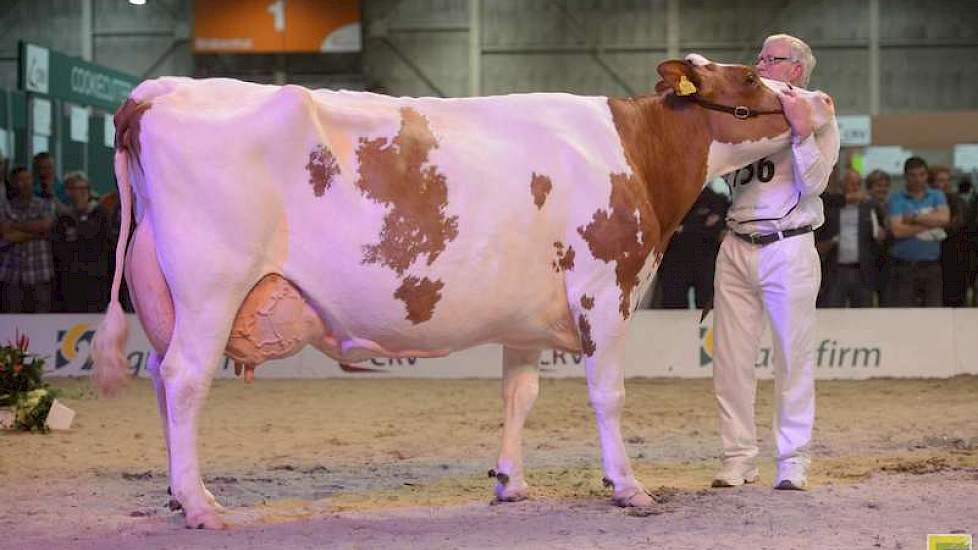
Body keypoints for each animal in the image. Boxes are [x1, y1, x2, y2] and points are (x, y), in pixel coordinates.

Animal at [95, 52, 836, 532]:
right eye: (749, 77)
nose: (823, 102)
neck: (634, 151)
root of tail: (157, 92)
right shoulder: (605, 289)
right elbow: (609, 395)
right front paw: (629, 488)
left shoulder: (527, 314)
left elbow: (520, 395)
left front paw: (511, 483)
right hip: (211, 286)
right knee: (186, 379)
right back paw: (200, 505)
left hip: (164, 295)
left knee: (161, 378)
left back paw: (176, 493)